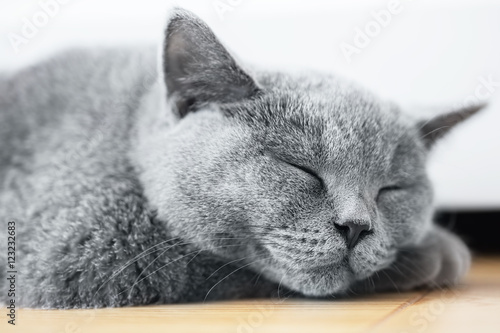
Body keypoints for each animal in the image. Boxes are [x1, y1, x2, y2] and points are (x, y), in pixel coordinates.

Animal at [0, 8, 482, 308]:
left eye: (391, 189)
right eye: (300, 168)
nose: (357, 227)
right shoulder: (79, 252)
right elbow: (212, 264)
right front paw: (438, 251)